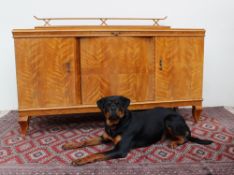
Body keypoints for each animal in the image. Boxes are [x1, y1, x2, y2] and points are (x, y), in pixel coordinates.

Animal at [63, 95, 213, 165]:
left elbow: (98, 153)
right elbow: (85, 141)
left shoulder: (120, 149)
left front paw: (80, 160)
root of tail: (180, 117)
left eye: (118, 103)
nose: (113, 109)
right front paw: (70, 144)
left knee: (186, 136)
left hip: (170, 120)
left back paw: (174, 142)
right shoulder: (104, 137)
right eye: (107, 104)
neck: (115, 125)